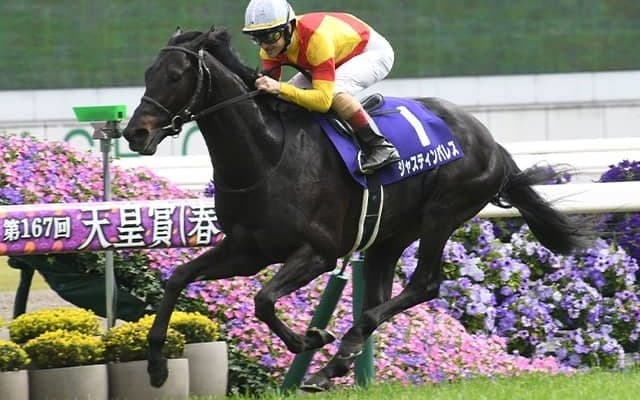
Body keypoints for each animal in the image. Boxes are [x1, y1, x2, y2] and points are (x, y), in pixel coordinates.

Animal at [122, 27, 589, 391]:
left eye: (176, 75)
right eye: (147, 74)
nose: (134, 133)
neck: (269, 156)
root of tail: (490, 140)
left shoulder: (318, 252)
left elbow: (263, 299)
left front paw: (308, 340)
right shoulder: (247, 250)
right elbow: (178, 279)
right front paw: (157, 366)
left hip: (444, 213)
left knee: (424, 285)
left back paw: (337, 352)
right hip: (390, 235)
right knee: (377, 299)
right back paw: (336, 362)